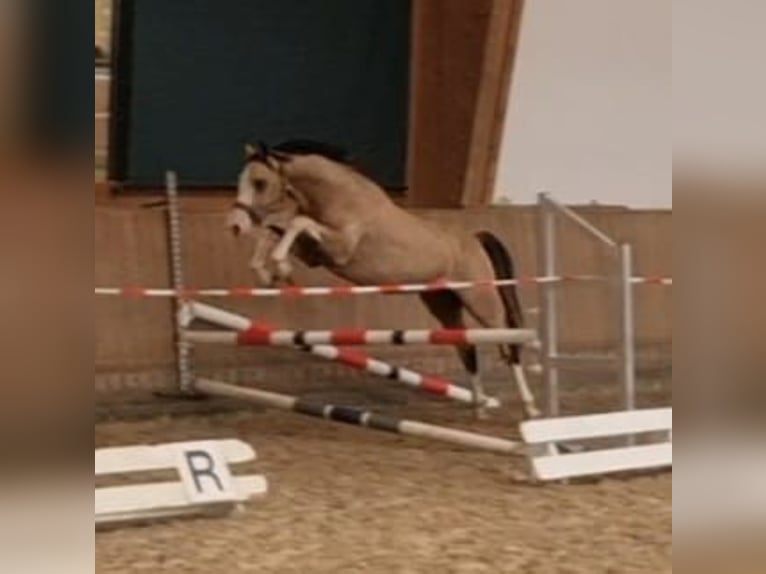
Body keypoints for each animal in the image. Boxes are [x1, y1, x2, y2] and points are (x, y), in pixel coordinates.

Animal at [226, 140, 540, 418]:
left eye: (260, 182)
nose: (235, 226)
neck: (340, 196)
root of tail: (474, 239)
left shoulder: (339, 248)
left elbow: (295, 223)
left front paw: (279, 266)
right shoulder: (316, 255)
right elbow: (275, 230)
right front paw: (268, 273)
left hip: (481, 300)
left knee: (508, 343)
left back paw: (530, 408)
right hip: (443, 304)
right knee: (467, 347)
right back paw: (478, 408)